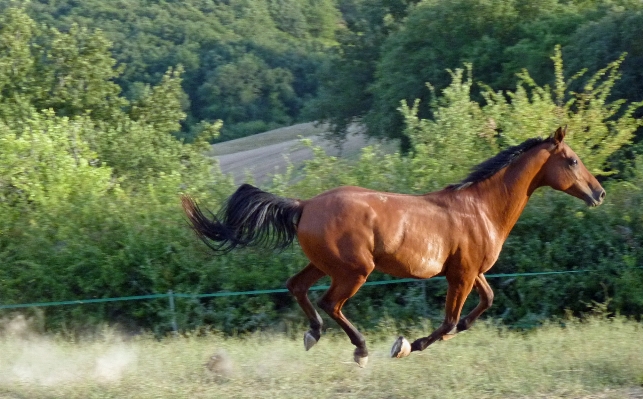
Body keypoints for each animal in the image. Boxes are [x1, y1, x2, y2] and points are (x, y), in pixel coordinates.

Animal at [181, 126, 604, 368]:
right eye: (572, 160)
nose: (598, 193)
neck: (481, 208)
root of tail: (304, 205)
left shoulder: (471, 273)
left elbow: (483, 304)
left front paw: (439, 337)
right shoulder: (462, 275)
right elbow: (449, 320)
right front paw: (405, 345)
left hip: (324, 264)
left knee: (297, 287)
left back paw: (313, 335)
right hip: (355, 271)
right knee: (329, 303)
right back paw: (361, 350)